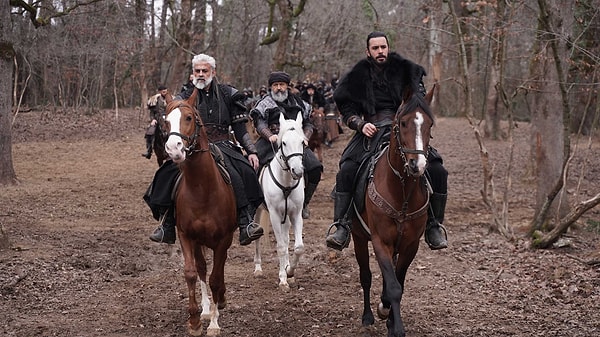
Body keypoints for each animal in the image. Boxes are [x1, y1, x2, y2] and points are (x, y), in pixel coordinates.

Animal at [165, 89, 240, 336]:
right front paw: (195, 320)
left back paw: (220, 302)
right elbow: (192, 272)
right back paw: (207, 309)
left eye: (189, 118)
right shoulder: (186, 235)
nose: (174, 149)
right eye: (166, 121)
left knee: (218, 269)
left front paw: (214, 324)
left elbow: (216, 277)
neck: (201, 189)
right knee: (202, 268)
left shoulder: (223, 238)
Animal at [253, 112, 304, 288]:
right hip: (257, 211)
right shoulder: (274, 215)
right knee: (257, 236)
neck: (286, 181)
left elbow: (297, 247)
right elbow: (281, 246)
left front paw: (290, 272)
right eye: (284, 143)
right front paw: (282, 279)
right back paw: (258, 268)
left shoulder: (296, 214)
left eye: (302, 141)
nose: (298, 171)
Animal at [352, 84, 436, 336]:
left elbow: (398, 282)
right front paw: (394, 326)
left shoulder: (410, 245)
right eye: (404, 123)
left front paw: (389, 316)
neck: (401, 191)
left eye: (430, 124)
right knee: (366, 276)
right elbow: (392, 286)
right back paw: (368, 315)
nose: (417, 165)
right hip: (358, 238)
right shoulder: (380, 241)